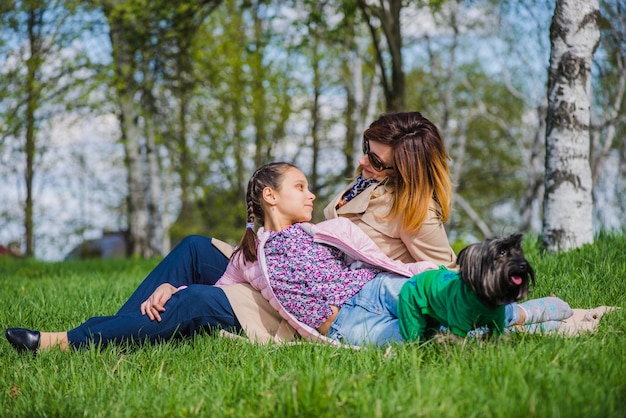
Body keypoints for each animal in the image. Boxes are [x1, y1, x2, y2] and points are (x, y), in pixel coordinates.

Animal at [398, 233, 532, 342]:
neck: (484, 299)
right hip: (411, 313)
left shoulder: (497, 322)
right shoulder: (459, 324)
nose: (524, 265)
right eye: (502, 252)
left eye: (519, 251)